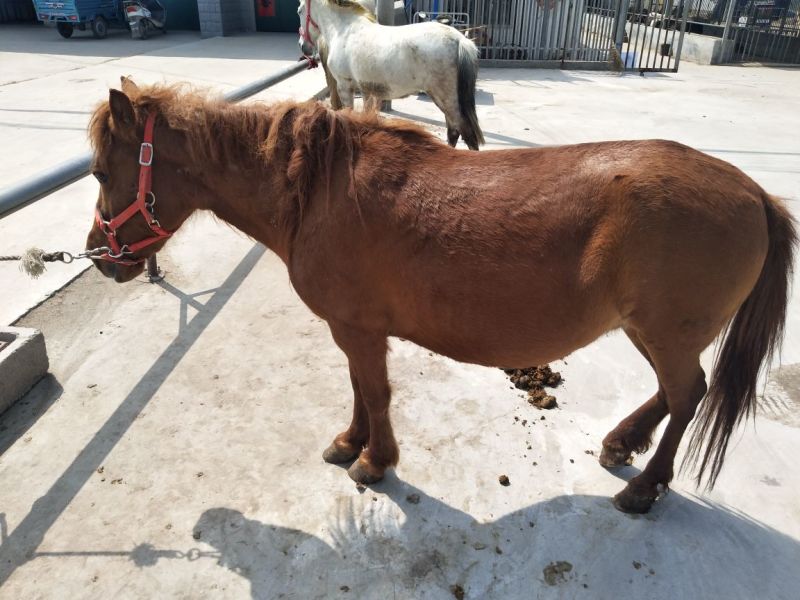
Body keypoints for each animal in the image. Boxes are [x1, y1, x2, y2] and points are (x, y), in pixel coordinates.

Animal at [86, 80, 796, 514]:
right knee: (675, 393)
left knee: (688, 394)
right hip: (646, 330)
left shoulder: (358, 329)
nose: (100, 257)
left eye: (98, 171)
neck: (316, 191)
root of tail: (754, 193)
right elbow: (357, 388)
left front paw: (374, 461)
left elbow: (374, 392)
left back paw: (644, 489)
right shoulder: (354, 328)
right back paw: (623, 444)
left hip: (666, 331)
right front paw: (349, 442)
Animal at [297, 0, 485, 150]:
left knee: (464, 132)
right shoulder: (366, 90)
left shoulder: (345, 86)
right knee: (454, 131)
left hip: (445, 98)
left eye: (299, 10)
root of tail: (461, 40)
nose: (303, 46)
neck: (343, 31)